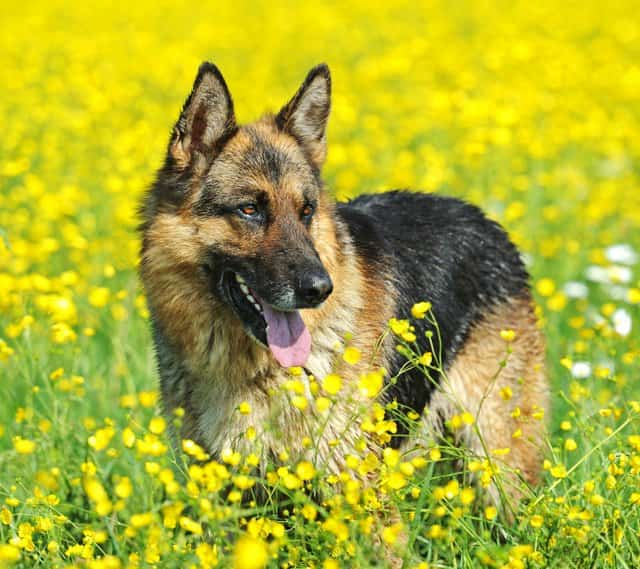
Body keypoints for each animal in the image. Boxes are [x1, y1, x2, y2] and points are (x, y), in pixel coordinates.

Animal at [141, 61, 552, 506]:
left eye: (306, 211)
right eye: (249, 210)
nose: (319, 290)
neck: (255, 370)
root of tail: (485, 220)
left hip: (498, 467)